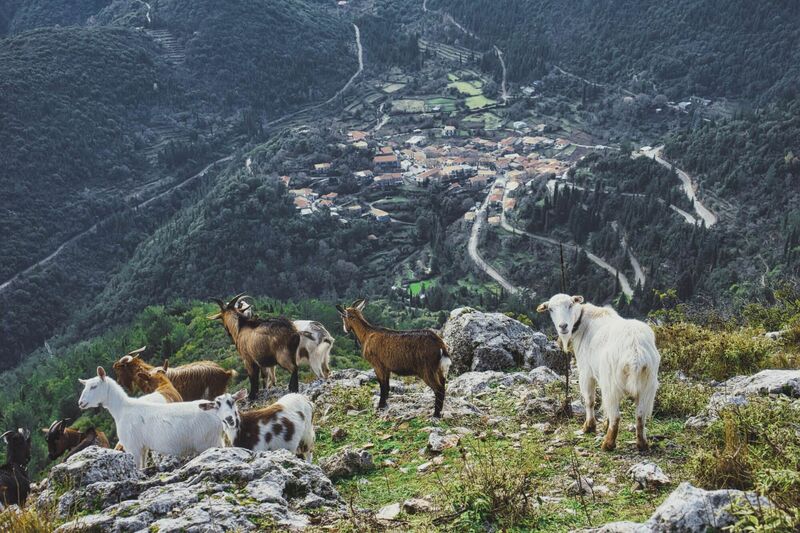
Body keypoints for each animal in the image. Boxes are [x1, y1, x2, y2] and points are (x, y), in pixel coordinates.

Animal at [78, 364, 225, 468]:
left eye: (94, 386)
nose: (80, 403)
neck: (122, 409)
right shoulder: (143, 447)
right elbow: (142, 467)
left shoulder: (133, 446)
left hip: (208, 442)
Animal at [536, 294, 664, 450]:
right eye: (550, 309)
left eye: (570, 305)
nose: (563, 326)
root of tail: (635, 351)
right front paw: (604, 424)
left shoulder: (586, 373)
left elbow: (590, 400)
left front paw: (589, 427)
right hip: (648, 385)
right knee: (640, 415)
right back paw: (642, 444)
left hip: (612, 383)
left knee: (616, 415)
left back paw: (608, 444)